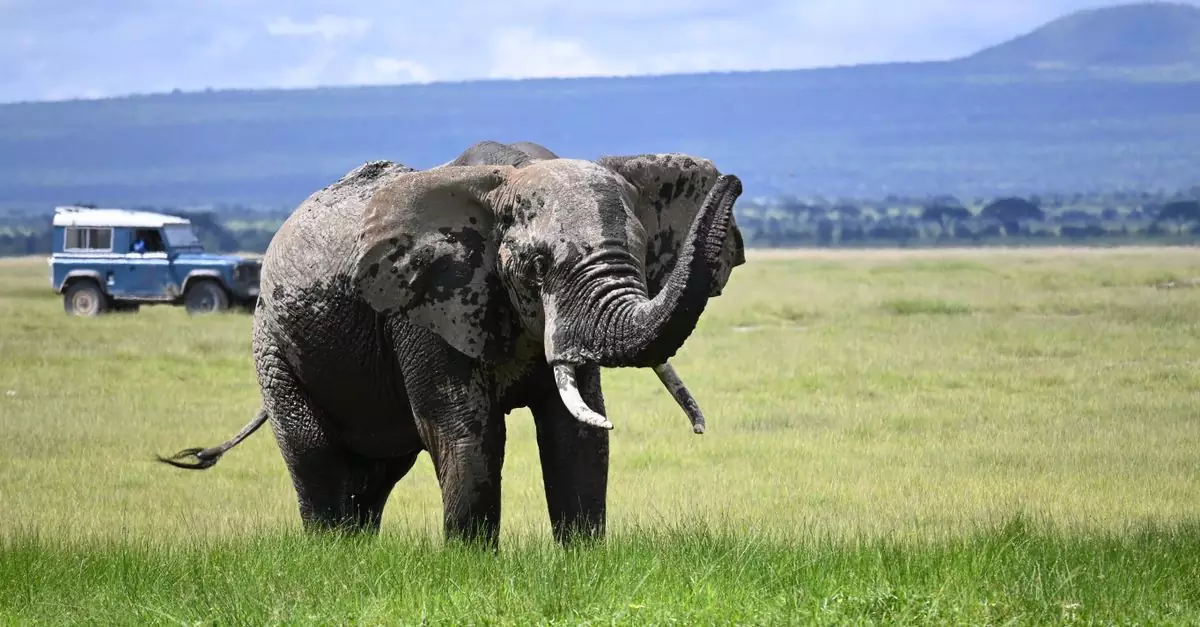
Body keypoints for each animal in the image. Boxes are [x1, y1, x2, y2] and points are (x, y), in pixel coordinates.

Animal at [158, 143, 746, 549]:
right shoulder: (421, 306)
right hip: (273, 344)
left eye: (644, 252)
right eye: (536, 266)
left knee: (376, 473)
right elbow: (465, 428)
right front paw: (471, 566)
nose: (734, 180)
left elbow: (575, 429)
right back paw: (332, 557)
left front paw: (583, 561)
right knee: (314, 454)